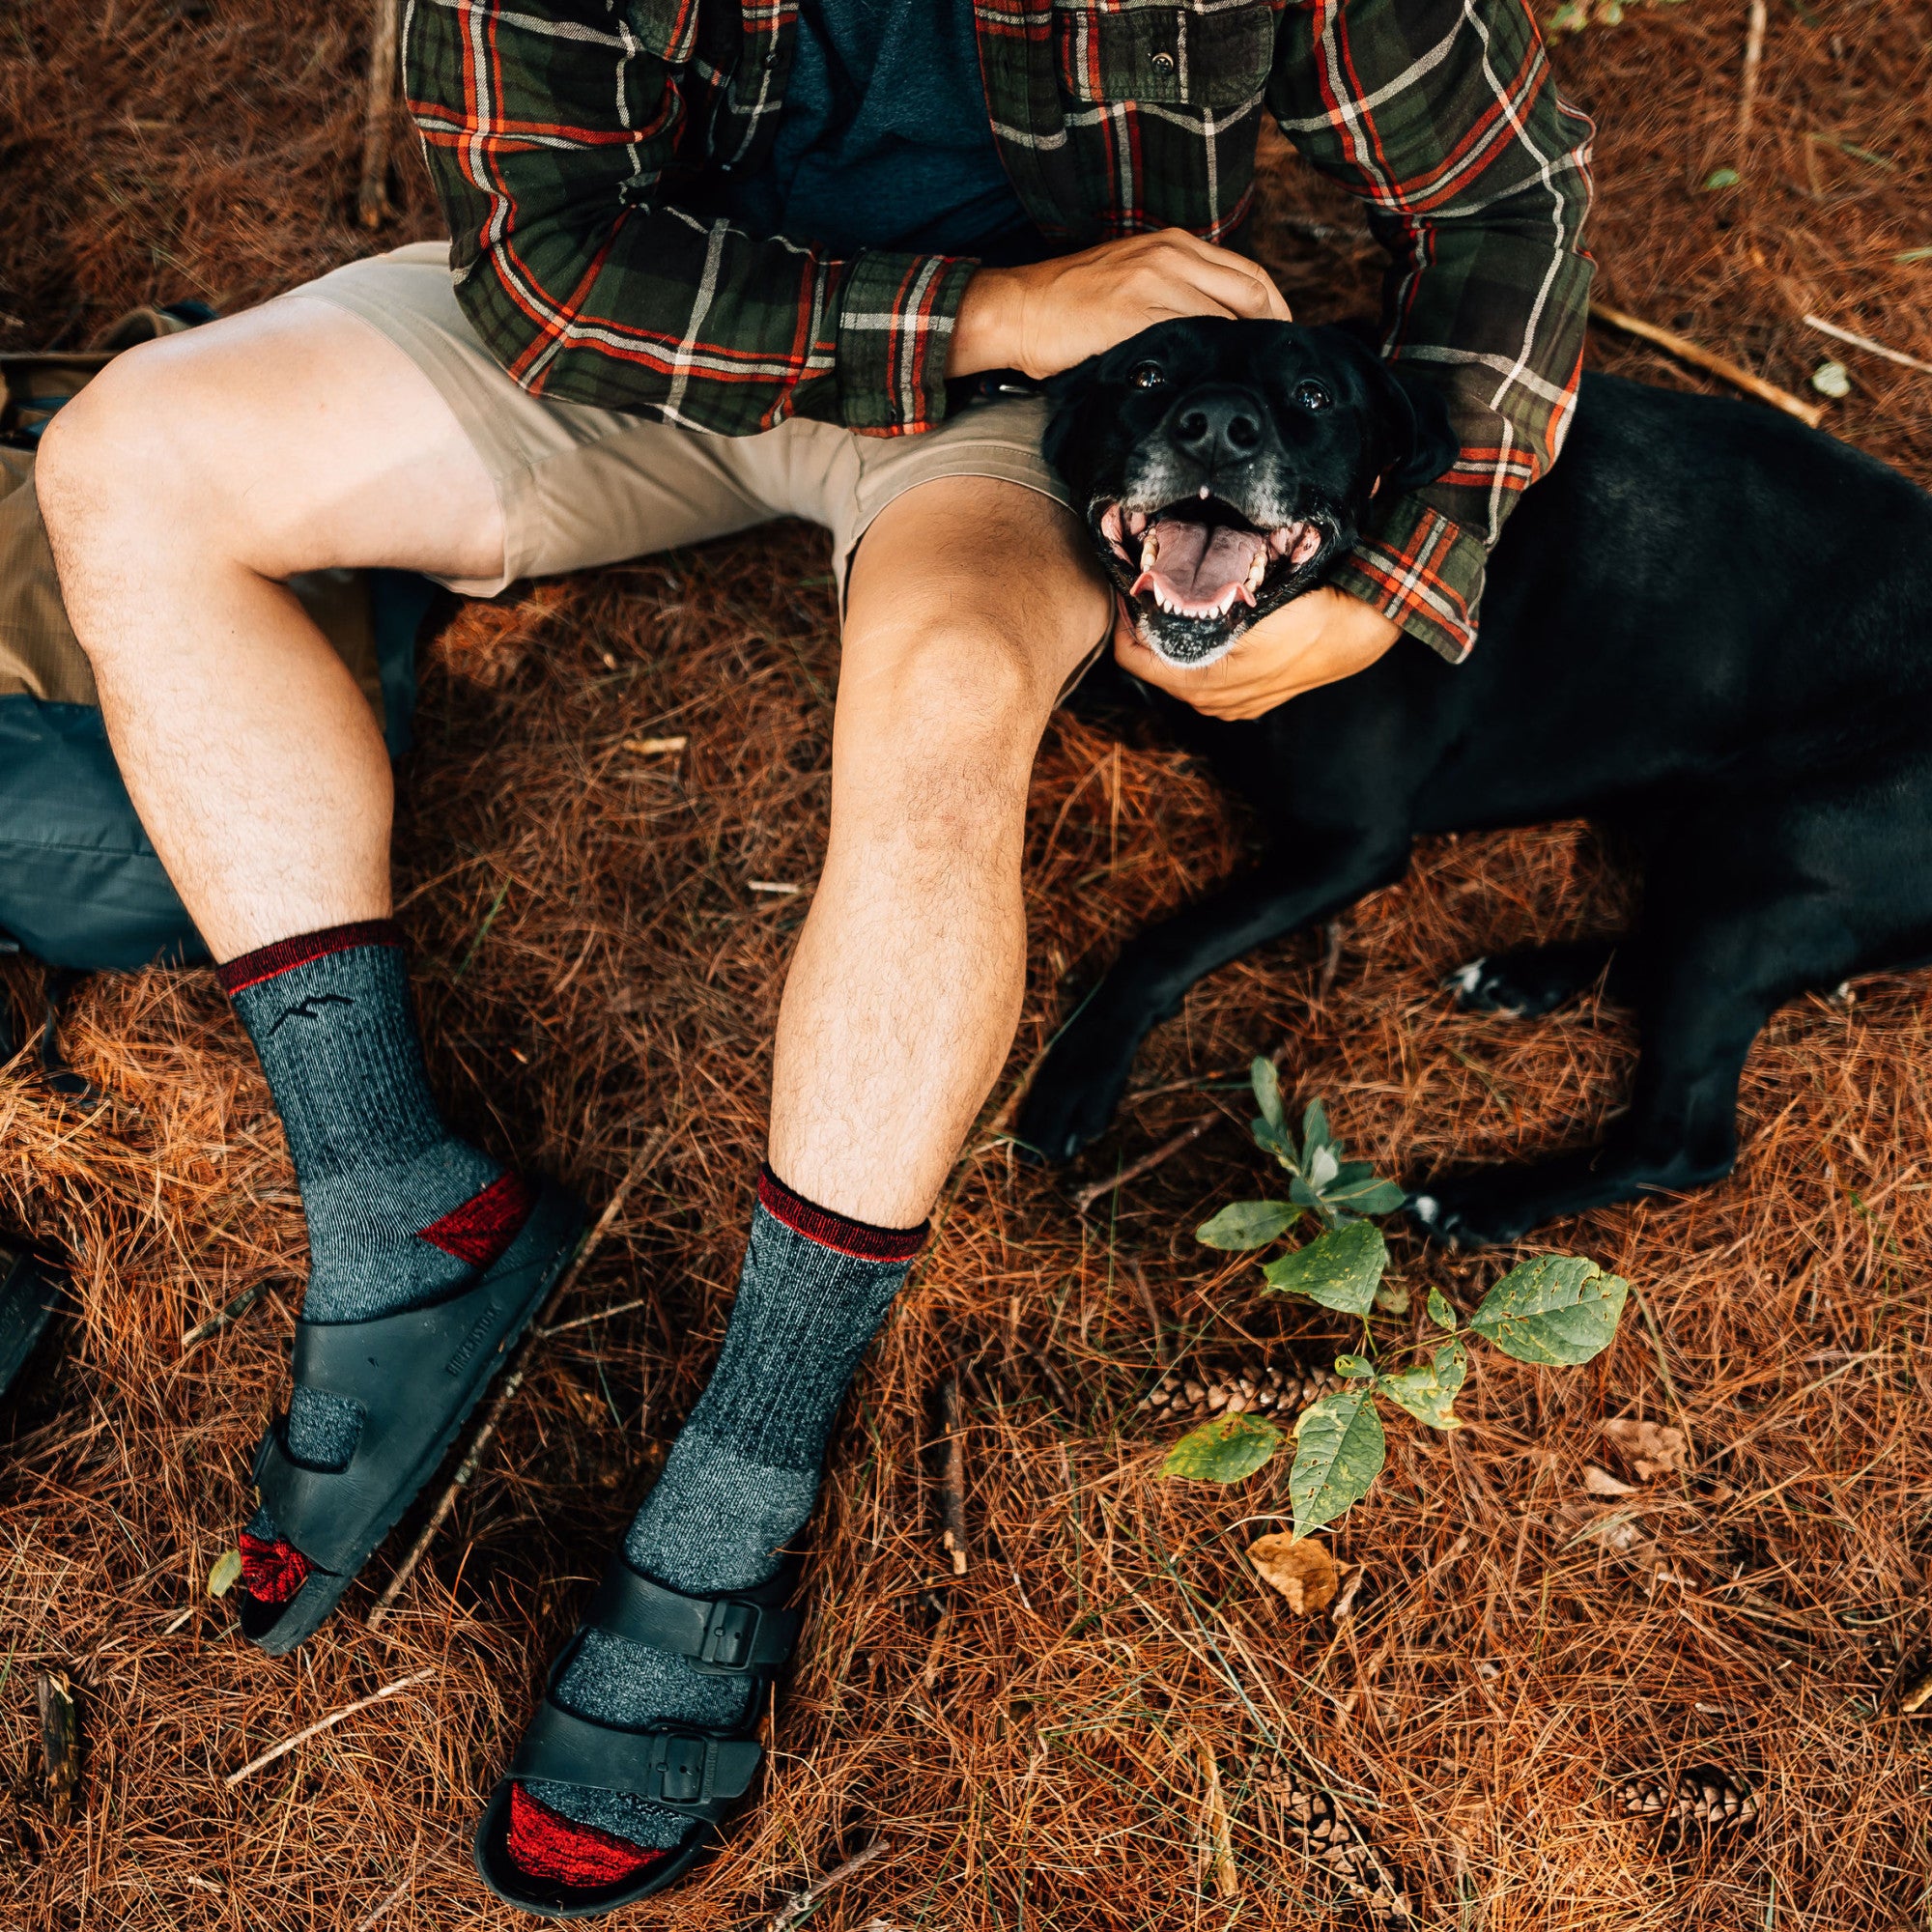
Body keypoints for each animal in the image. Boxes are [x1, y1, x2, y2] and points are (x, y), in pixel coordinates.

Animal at [1012, 319, 1932, 1244]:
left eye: (1313, 395)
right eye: (1147, 374)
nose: (1216, 427)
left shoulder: (1354, 845)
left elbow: (1168, 939)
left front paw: (1078, 1069)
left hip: (1762, 870)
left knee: (1684, 1143)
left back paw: (1478, 1202)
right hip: (1714, 860)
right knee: (1660, 946)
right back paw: (1525, 981)